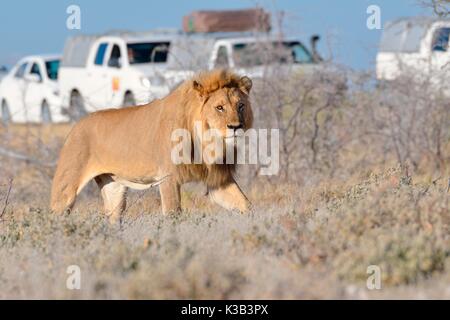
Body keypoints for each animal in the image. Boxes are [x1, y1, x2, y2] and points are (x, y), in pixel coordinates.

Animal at [51, 69, 255, 221]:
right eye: (219, 107)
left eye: (241, 106)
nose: (236, 127)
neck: (207, 140)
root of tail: (76, 124)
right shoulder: (168, 178)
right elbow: (173, 215)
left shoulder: (217, 180)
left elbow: (246, 205)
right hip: (66, 188)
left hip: (114, 189)